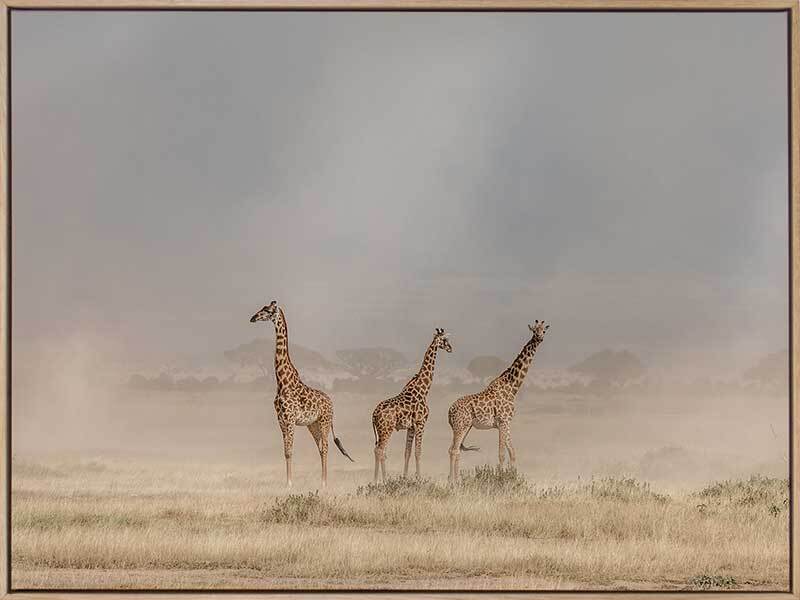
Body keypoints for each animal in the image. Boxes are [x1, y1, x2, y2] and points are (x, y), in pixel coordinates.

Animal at [250, 301, 354, 488]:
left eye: (267, 310)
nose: (253, 318)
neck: (282, 381)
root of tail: (331, 403)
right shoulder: (281, 420)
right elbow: (286, 451)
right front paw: (287, 483)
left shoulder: (290, 419)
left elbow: (290, 451)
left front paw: (289, 484)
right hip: (312, 425)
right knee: (320, 448)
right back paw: (321, 481)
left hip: (324, 421)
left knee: (325, 447)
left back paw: (324, 483)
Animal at [371, 328, 453, 482]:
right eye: (445, 339)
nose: (451, 348)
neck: (423, 390)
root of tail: (373, 415)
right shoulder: (421, 423)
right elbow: (418, 451)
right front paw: (419, 478)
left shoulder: (411, 427)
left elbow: (407, 452)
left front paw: (405, 477)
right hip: (387, 429)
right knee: (380, 450)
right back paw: (383, 480)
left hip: (380, 431)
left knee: (378, 450)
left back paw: (376, 480)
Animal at [447, 320, 549, 482]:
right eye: (534, 330)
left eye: (543, 331)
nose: (539, 338)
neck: (512, 387)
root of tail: (450, 411)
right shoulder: (503, 421)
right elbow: (502, 454)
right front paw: (501, 478)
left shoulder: (506, 423)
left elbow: (512, 453)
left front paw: (513, 477)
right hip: (460, 426)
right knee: (454, 450)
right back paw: (454, 482)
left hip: (464, 427)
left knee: (454, 450)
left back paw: (454, 480)